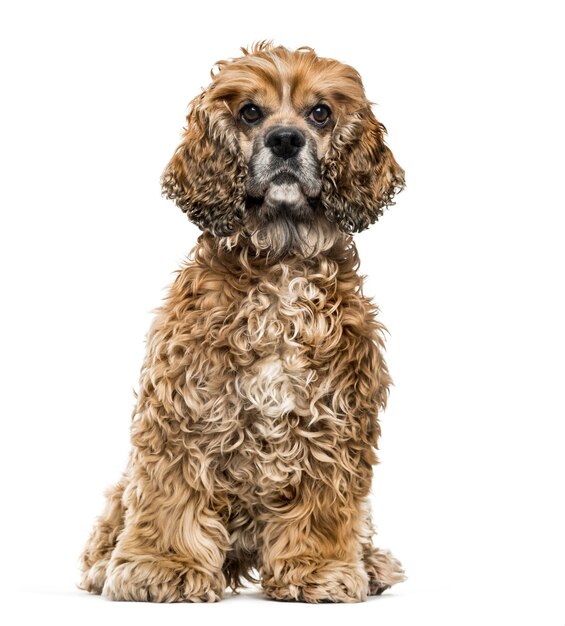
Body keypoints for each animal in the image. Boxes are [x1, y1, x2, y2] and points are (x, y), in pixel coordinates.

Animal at [80, 42, 406, 600]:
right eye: (250, 112)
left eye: (321, 113)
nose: (285, 139)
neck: (281, 259)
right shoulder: (184, 408)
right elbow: (170, 495)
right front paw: (163, 566)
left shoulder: (334, 416)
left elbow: (325, 505)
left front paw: (318, 568)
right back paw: (105, 565)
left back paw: (371, 563)